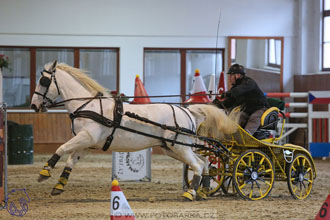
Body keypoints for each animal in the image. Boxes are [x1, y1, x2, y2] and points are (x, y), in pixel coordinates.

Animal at [30, 61, 237, 200]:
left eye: (43, 81)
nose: (33, 106)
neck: (87, 106)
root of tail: (187, 110)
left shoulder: (86, 137)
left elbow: (61, 148)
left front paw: (45, 171)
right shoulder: (86, 143)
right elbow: (70, 160)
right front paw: (59, 185)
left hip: (179, 147)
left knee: (198, 165)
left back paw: (191, 192)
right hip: (175, 148)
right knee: (204, 162)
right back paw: (203, 190)